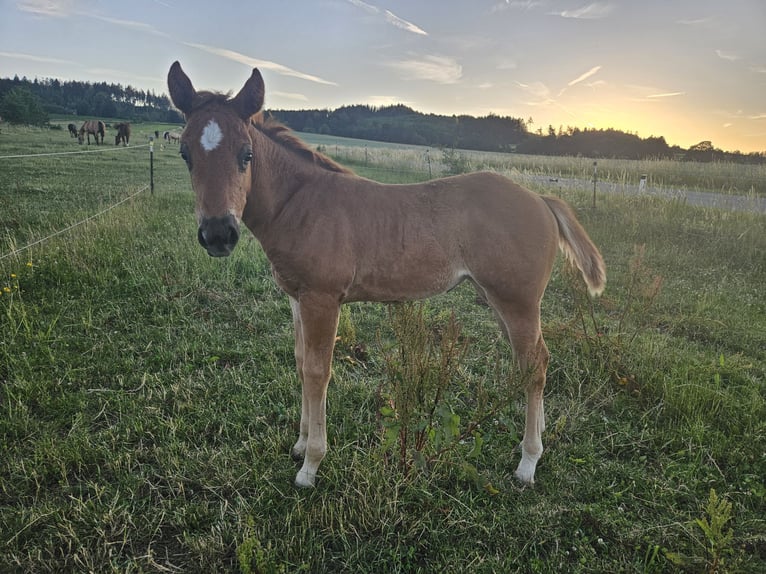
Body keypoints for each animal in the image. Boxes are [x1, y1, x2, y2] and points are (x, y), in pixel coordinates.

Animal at [167, 61, 606, 489]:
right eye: (185, 153)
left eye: (246, 155)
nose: (218, 233)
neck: (301, 204)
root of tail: (541, 199)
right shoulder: (297, 298)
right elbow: (300, 362)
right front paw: (300, 444)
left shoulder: (322, 300)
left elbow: (317, 371)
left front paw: (310, 466)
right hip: (500, 300)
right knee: (532, 362)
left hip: (517, 301)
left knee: (535, 365)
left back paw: (528, 463)